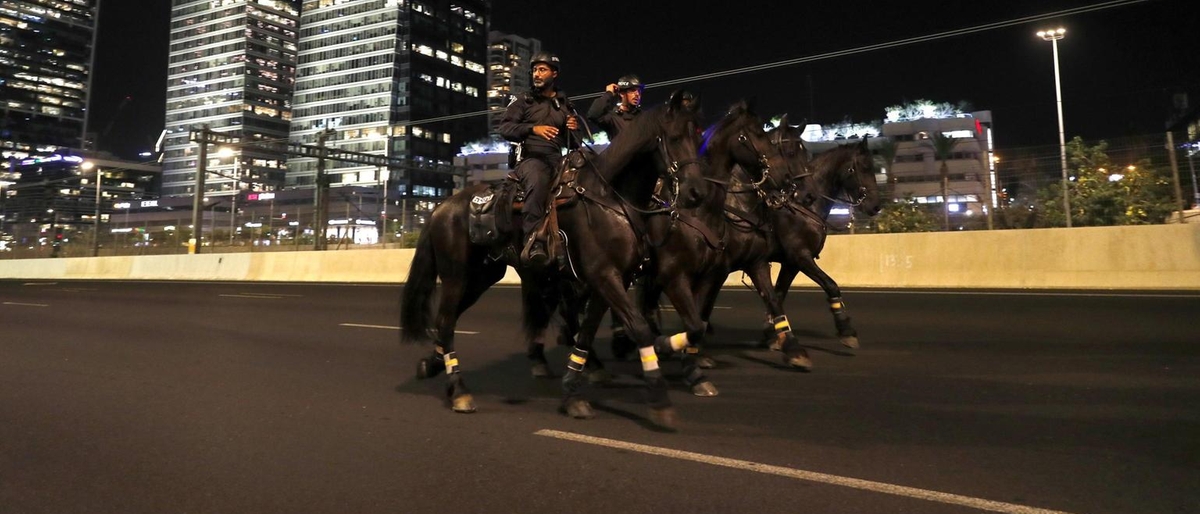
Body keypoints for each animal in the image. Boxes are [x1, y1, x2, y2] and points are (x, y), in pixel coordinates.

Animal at [398, 89, 705, 429]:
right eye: (674, 137)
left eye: (698, 135)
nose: (696, 193)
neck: (609, 197)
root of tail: (440, 208)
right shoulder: (604, 275)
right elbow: (638, 328)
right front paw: (660, 398)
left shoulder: (612, 280)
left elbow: (591, 332)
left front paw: (573, 393)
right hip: (456, 276)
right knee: (445, 321)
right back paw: (459, 391)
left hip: (481, 277)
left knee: (447, 321)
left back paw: (434, 365)